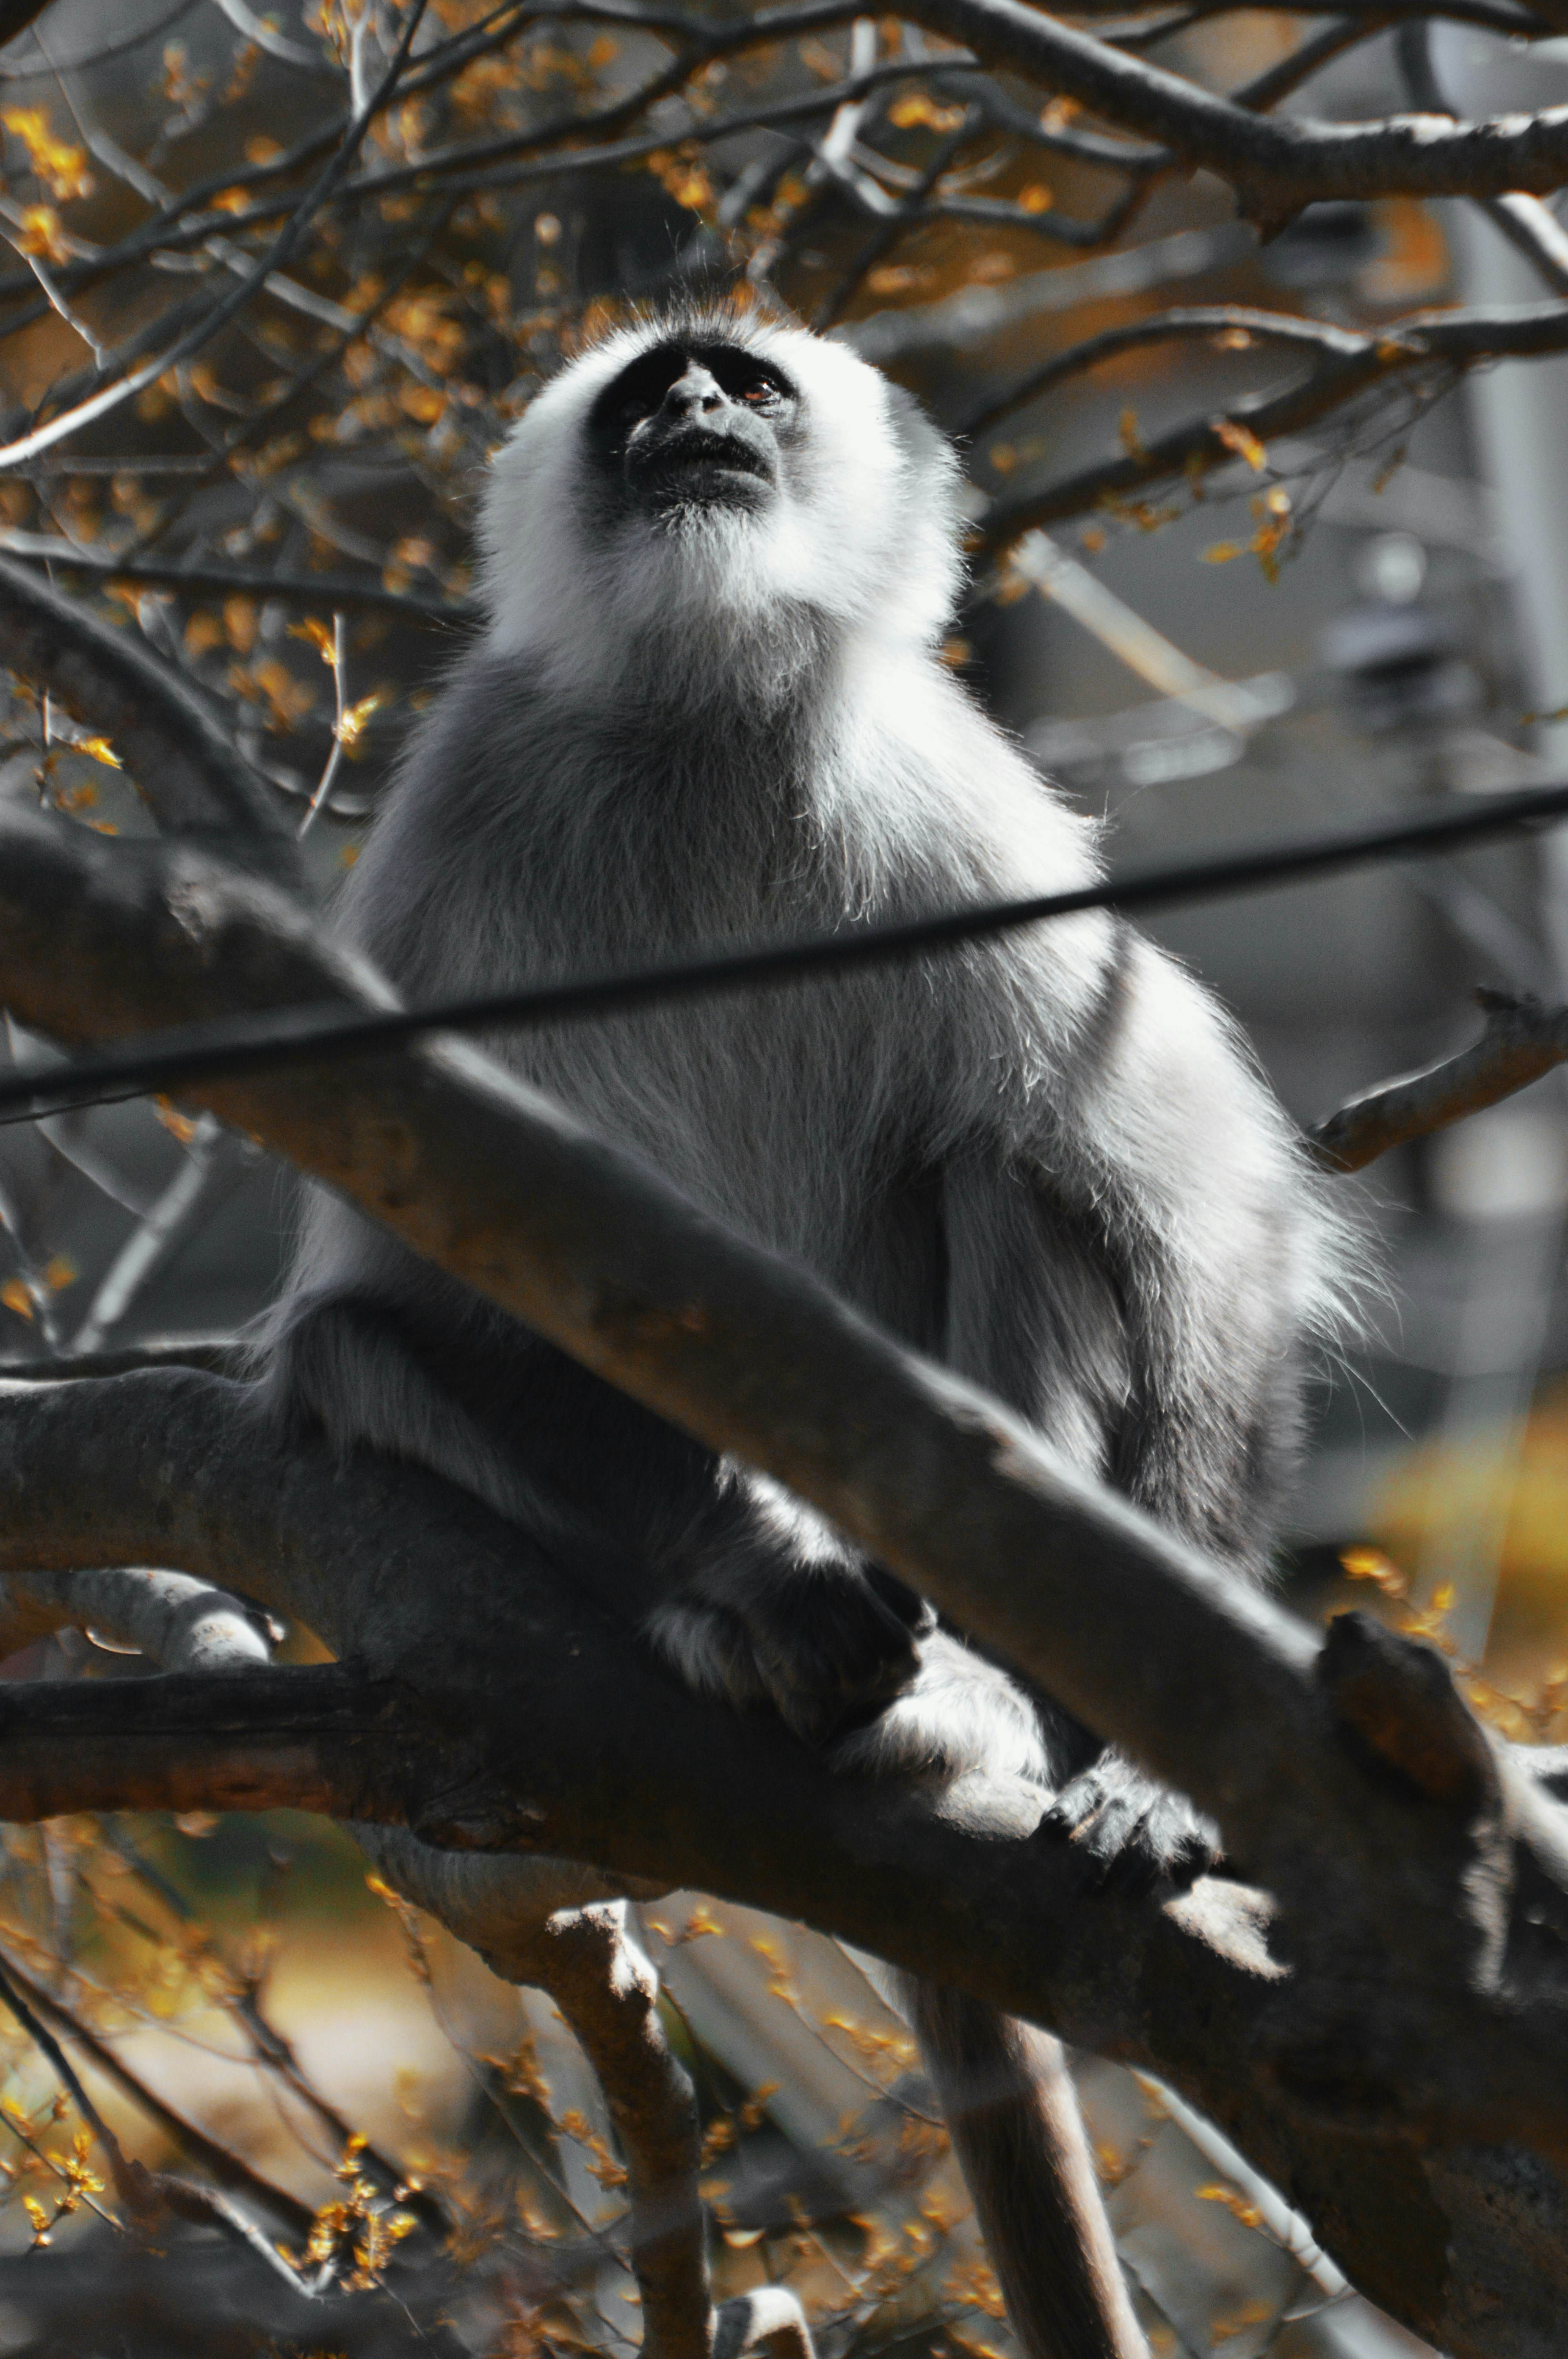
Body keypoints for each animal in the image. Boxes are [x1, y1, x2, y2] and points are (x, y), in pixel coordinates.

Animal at [254, 298, 1352, 2359]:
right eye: (648, 400)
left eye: (741, 386)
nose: (692, 410)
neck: (707, 710)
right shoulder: (467, 803)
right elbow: (415, 1283)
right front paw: (763, 1588)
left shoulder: (958, 800)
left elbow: (1195, 1230)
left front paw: (1168, 1763)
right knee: (357, 1347)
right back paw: (733, 1625)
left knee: (1015, 1166)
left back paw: (989, 1686)